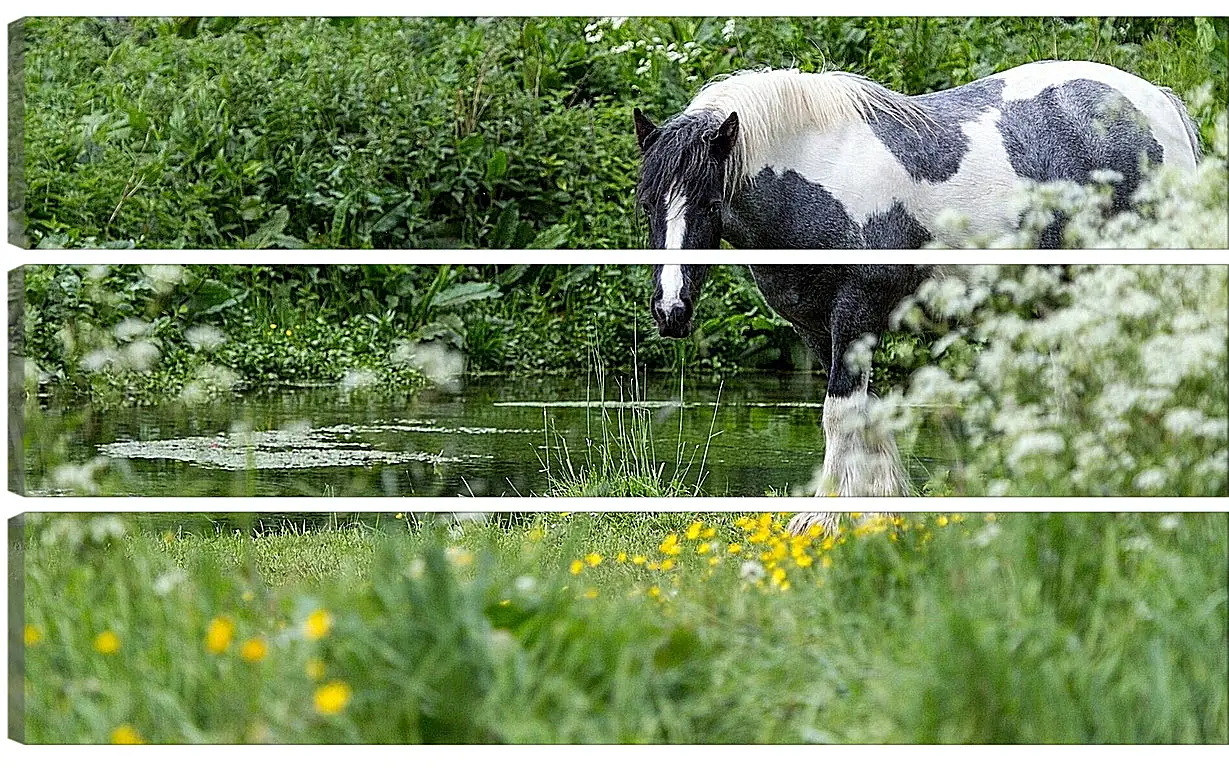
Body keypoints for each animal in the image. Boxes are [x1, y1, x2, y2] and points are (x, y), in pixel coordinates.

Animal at [639, 59, 1204, 533]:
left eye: (710, 203)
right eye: (647, 203)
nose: (671, 310)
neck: (819, 175)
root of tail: (1159, 105)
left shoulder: (856, 314)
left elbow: (839, 415)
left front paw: (822, 521)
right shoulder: (818, 328)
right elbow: (867, 415)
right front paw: (880, 513)